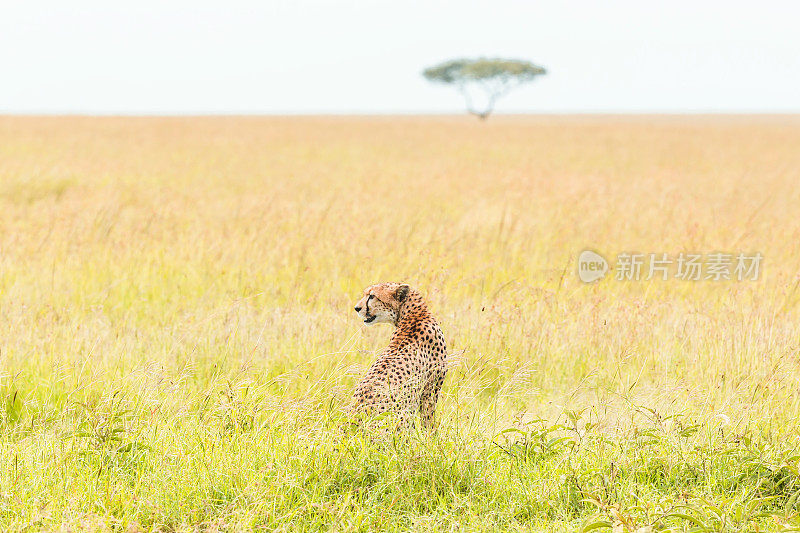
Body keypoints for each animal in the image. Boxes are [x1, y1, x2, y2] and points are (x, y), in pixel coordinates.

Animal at [354, 282, 446, 428]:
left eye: (372, 296)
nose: (357, 308)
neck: (413, 315)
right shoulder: (430, 389)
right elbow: (428, 421)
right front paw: (432, 434)